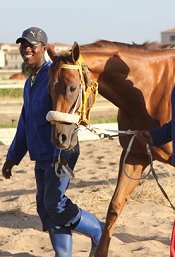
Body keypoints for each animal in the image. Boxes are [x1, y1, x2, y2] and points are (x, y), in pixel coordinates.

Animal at [45, 40, 175, 256]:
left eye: (72, 87)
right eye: (49, 89)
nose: (59, 137)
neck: (152, 91)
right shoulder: (134, 156)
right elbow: (115, 207)